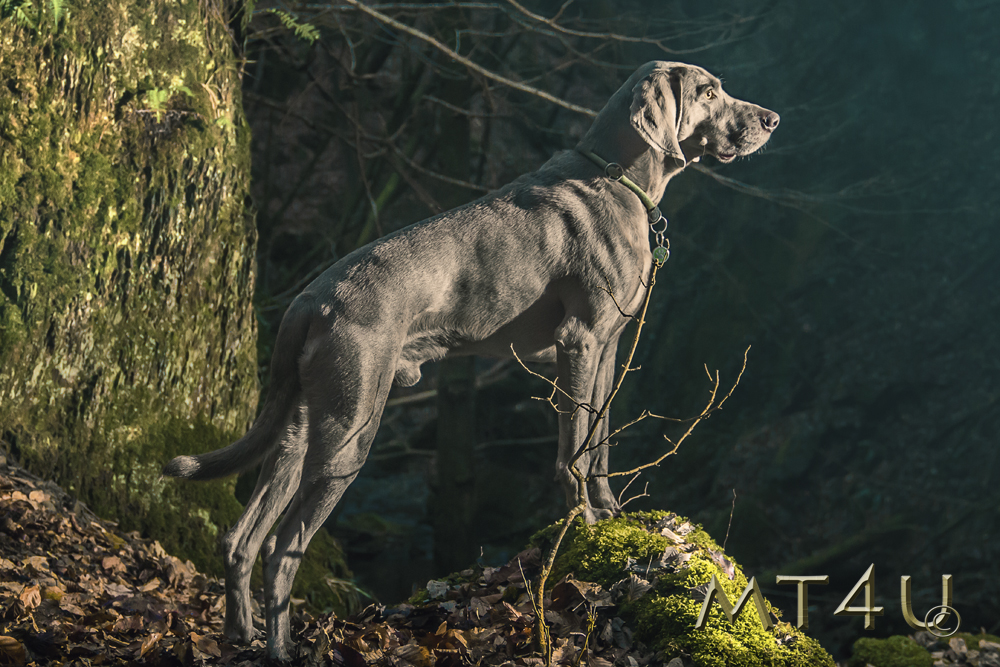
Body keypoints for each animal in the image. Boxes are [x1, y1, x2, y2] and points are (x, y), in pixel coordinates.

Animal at [164, 61, 776, 656]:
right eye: (709, 92)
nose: (771, 119)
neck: (616, 176)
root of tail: (309, 299)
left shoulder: (608, 348)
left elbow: (600, 443)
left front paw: (609, 515)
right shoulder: (579, 340)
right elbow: (574, 450)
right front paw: (584, 519)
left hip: (299, 431)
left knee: (241, 537)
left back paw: (241, 635)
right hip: (350, 429)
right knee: (282, 547)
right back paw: (281, 647)